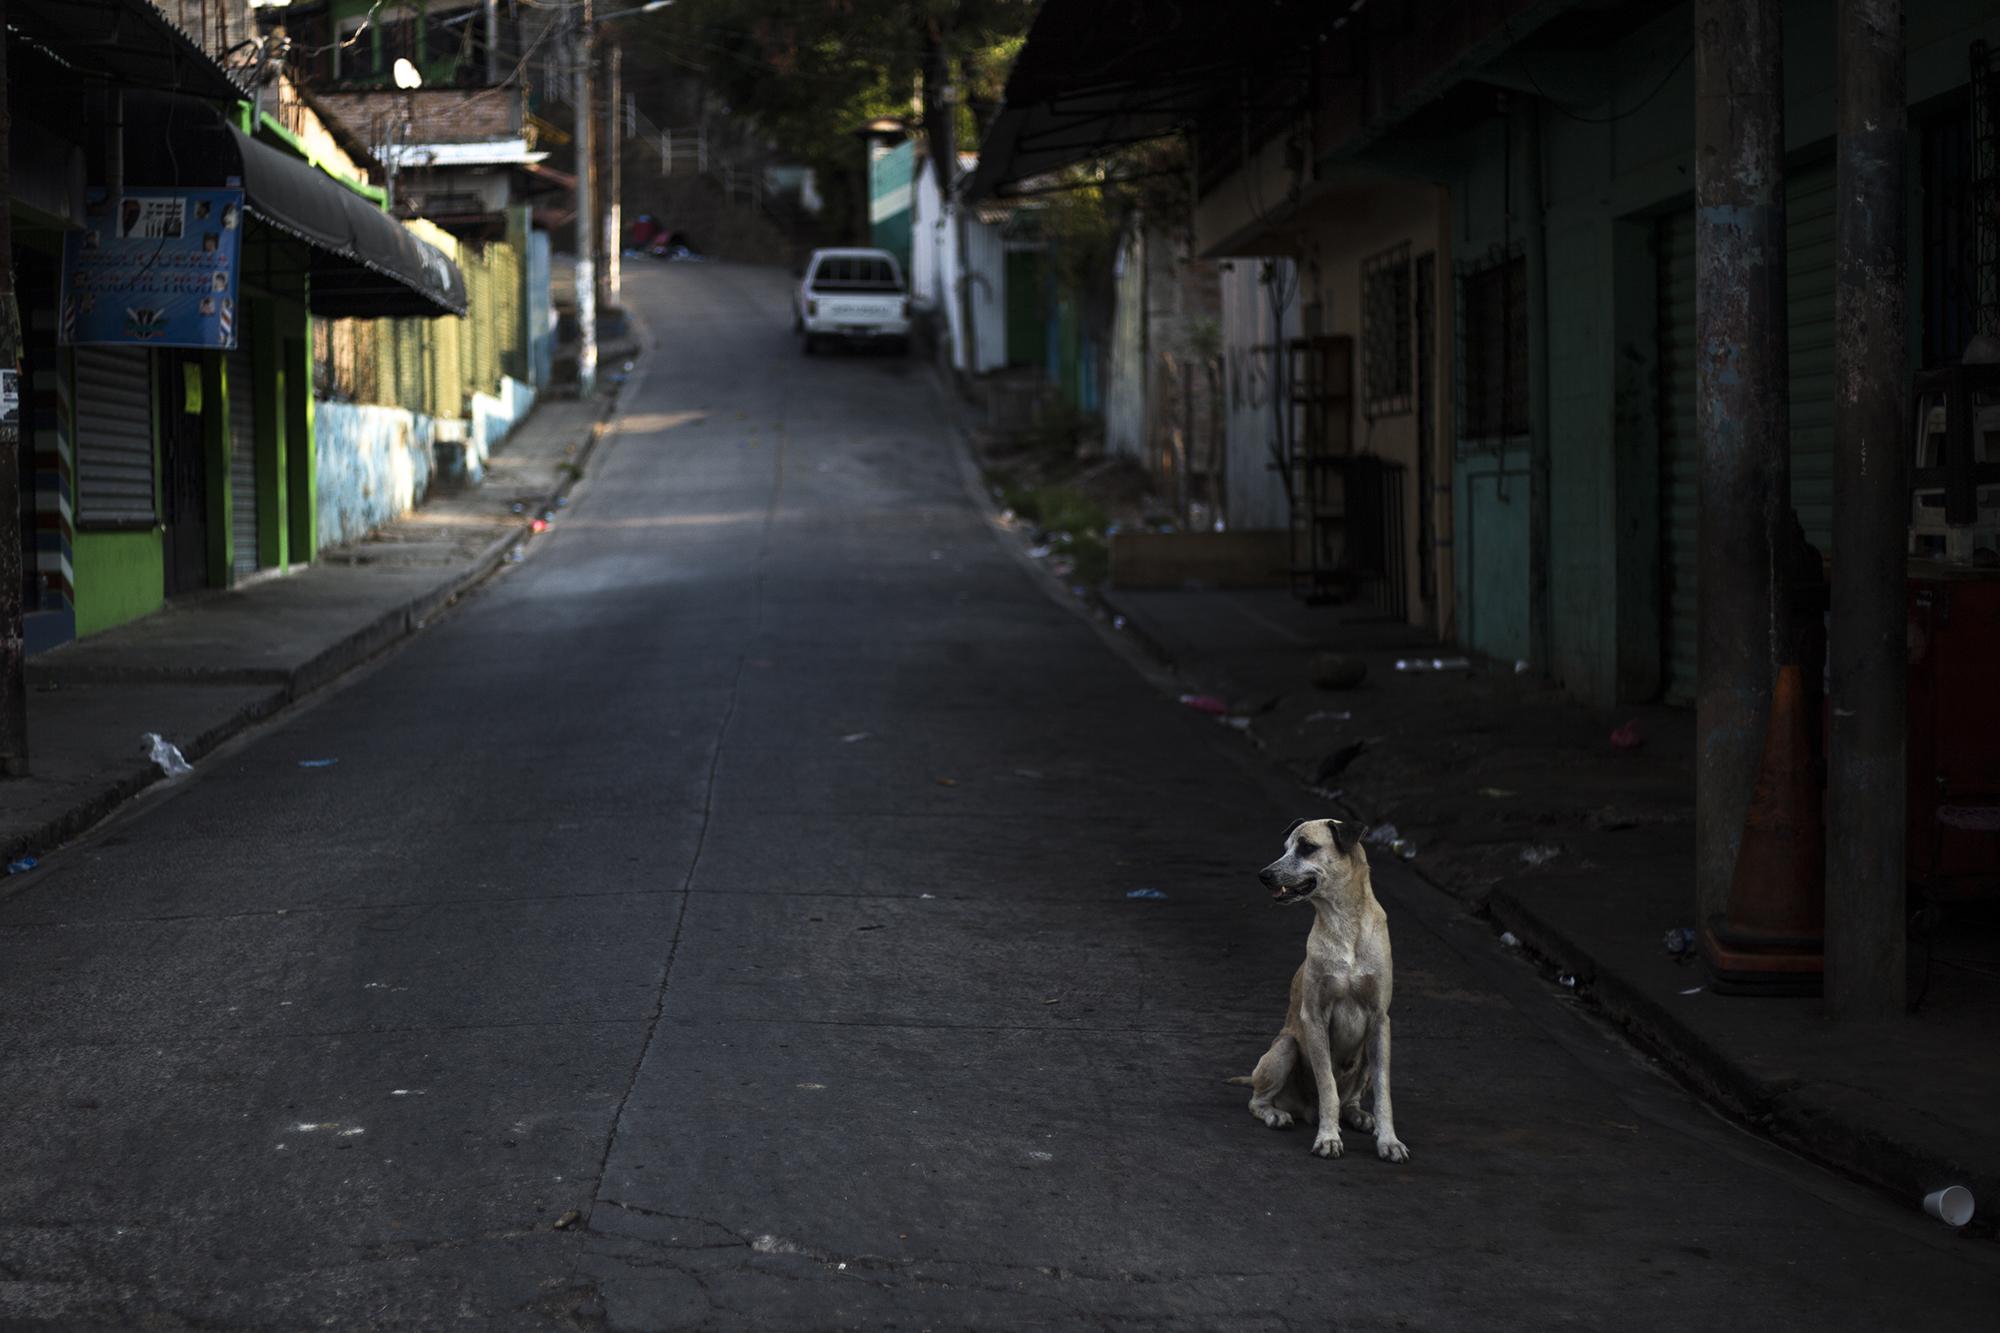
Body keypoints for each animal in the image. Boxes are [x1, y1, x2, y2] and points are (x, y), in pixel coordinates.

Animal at [1224, 816, 1416, 1160]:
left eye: (1307, 847)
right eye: (1285, 847)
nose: (1263, 875)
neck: (1344, 924)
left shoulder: (1380, 1021)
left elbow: (1384, 1093)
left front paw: (1389, 1141)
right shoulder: (1314, 1017)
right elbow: (1328, 1086)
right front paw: (1328, 1138)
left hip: (1365, 1056)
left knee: (1350, 1100)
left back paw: (1358, 1116)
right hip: (1284, 1048)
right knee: (1258, 1100)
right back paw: (1277, 1115)